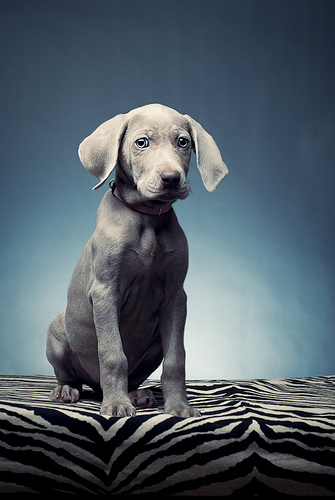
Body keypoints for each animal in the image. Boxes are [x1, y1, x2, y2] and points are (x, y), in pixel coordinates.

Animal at [46, 103, 228, 416]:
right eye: (141, 143)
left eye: (183, 142)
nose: (171, 178)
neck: (148, 219)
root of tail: (95, 387)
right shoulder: (106, 291)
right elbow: (113, 353)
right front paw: (117, 405)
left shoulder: (176, 297)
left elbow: (176, 359)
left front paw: (179, 407)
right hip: (57, 332)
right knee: (69, 375)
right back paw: (68, 391)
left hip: (155, 344)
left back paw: (137, 394)